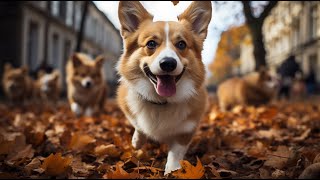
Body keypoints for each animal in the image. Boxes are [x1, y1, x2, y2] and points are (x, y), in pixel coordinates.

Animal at [116, 1, 211, 174]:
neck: (161, 102)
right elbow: (138, 124)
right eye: (151, 44)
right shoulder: (127, 106)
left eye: (181, 44)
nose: (168, 63)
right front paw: (137, 141)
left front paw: (172, 171)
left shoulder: (187, 128)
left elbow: (176, 153)